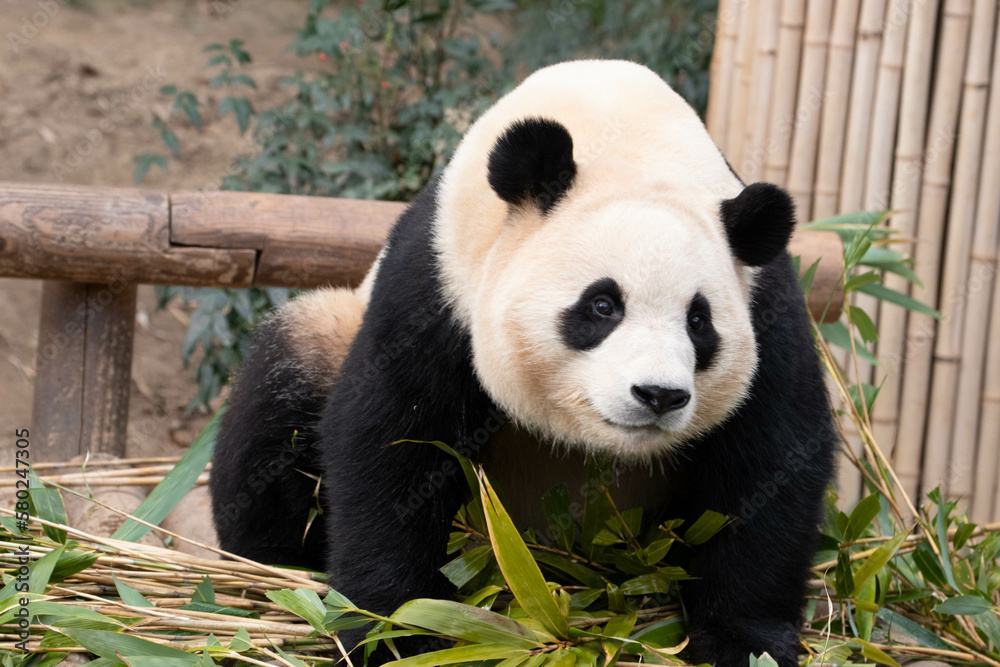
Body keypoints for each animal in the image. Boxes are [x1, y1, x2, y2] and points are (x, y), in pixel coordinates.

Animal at [210, 60, 837, 667]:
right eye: (602, 305)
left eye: (699, 322)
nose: (659, 395)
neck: (621, 136)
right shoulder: (437, 284)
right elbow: (391, 443)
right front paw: (398, 631)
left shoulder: (767, 305)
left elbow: (769, 464)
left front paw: (744, 641)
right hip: (329, 335)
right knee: (286, 377)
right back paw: (273, 564)